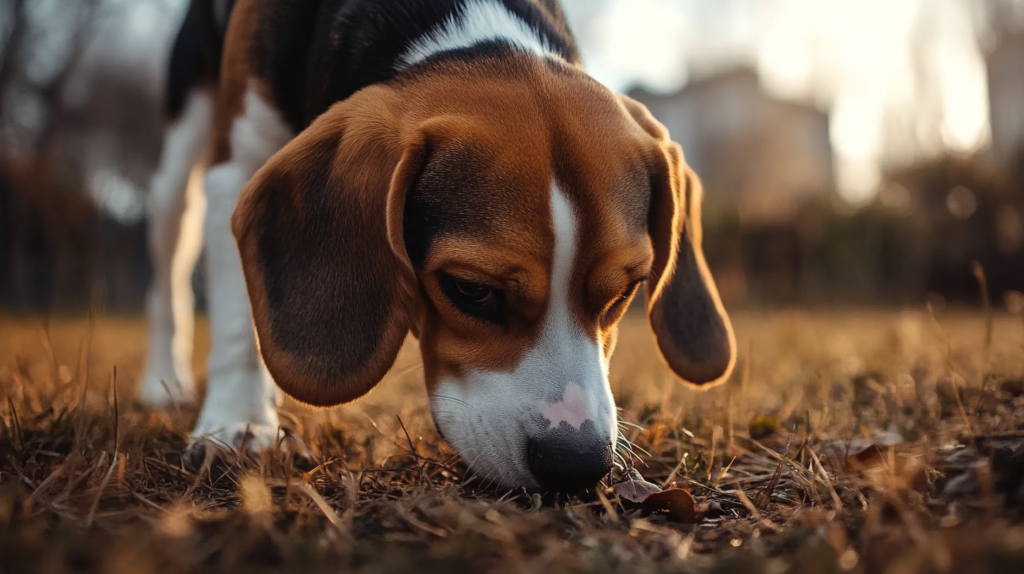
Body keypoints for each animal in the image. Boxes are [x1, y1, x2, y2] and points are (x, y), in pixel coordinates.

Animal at [142, 0, 737, 493]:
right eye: (470, 290)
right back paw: (164, 384)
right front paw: (238, 425)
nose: (577, 465)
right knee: (169, 268)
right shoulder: (237, 164)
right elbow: (236, 323)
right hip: (179, 164)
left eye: (625, 291)